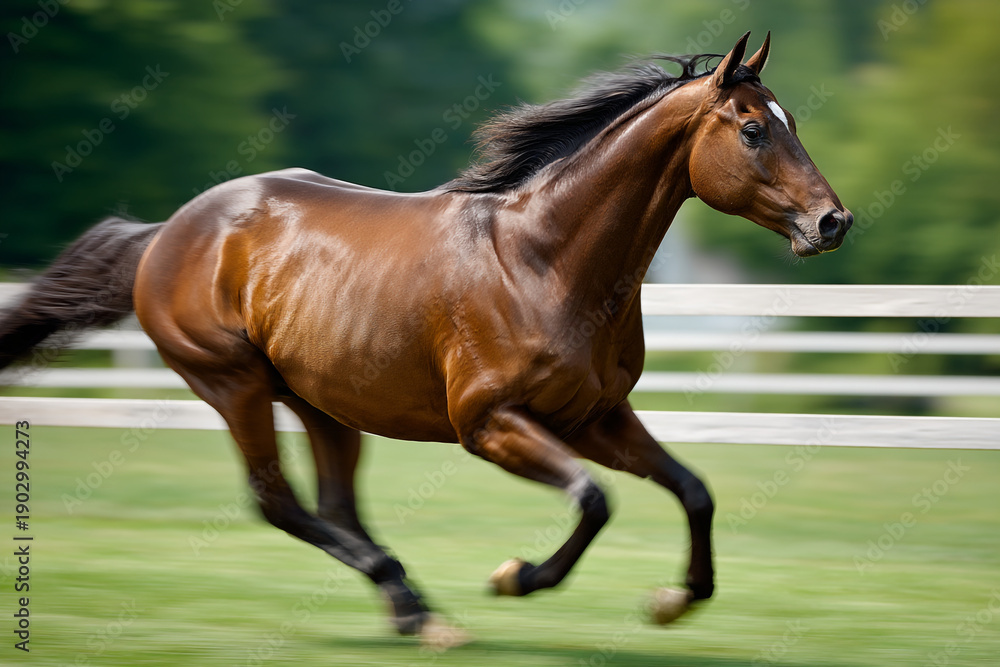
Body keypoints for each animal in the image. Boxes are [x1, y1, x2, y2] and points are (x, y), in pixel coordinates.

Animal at [0, 32, 850, 646]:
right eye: (752, 129)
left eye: (792, 123)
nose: (833, 222)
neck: (543, 261)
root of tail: (165, 234)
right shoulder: (488, 423)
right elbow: (593, 499)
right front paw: (515, 575)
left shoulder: (593, 416)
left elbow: (693, 489)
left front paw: (675, 599)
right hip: (233, 382)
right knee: (278, 501)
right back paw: (418, 609)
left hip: (321, 401)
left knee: (335, 505)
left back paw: (412, 606)